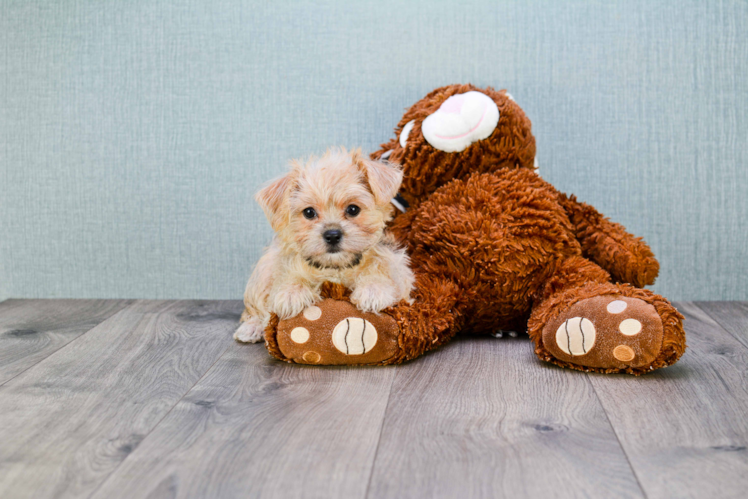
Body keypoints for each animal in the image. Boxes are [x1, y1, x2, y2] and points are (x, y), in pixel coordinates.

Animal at [234, 147, 414, 344]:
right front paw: (291, 293)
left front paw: (374, 290)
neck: (335, 268)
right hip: (262, 273)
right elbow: (289, 279)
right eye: (309, 212)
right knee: (255, 310)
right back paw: (252, 328)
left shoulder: (398, 272)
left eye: (353, 209)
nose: (332, 235)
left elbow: (382, 274)